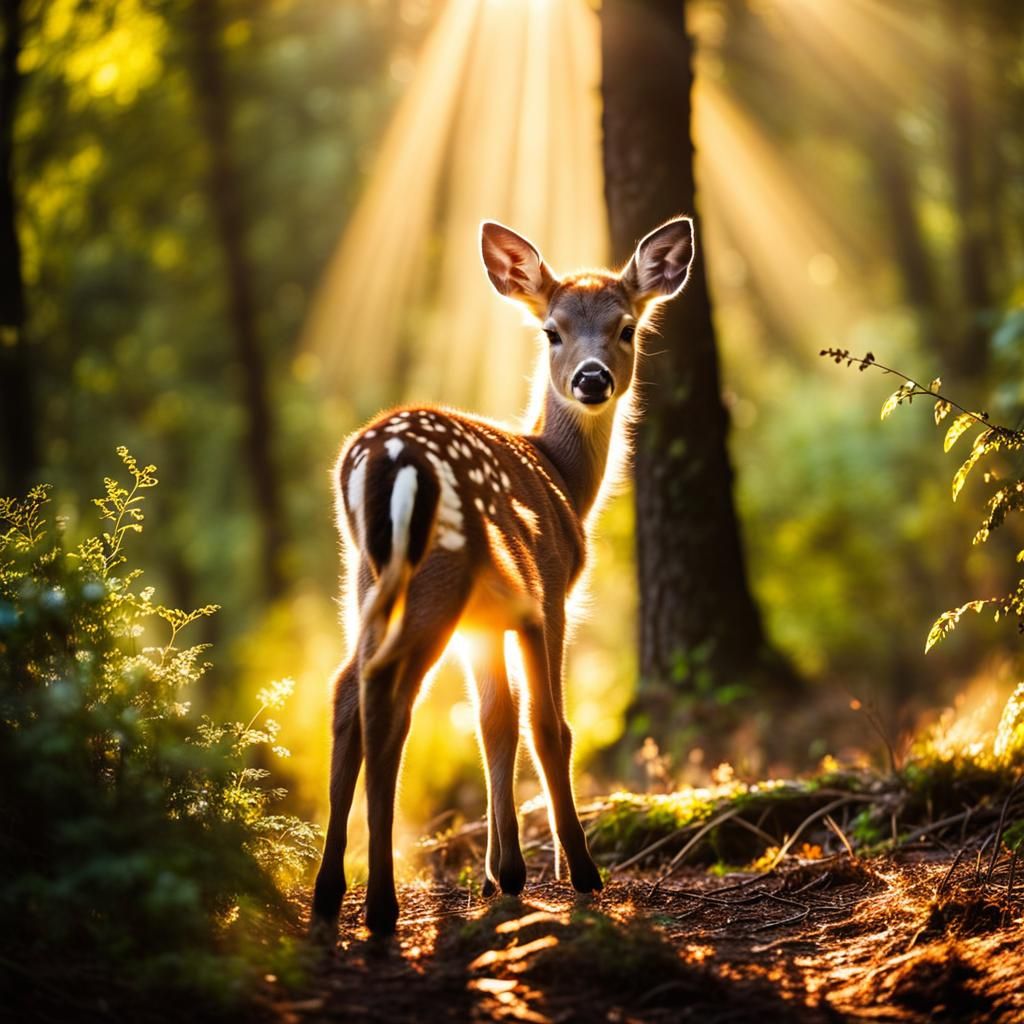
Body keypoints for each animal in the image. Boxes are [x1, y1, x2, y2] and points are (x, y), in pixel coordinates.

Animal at [311, 215, 695, 936]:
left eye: (627, 326)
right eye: (552, 330)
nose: (593, 378)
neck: (564, 482)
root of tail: (382, 459)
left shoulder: (485, 622)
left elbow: (494, 719)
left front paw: (500, 875)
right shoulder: (547, 595)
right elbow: (547, 725)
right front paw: (579, 872)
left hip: (364, 575)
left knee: (348, 686)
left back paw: (328, 895)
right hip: (437, 574)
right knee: (389, 696)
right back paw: (379, 904)